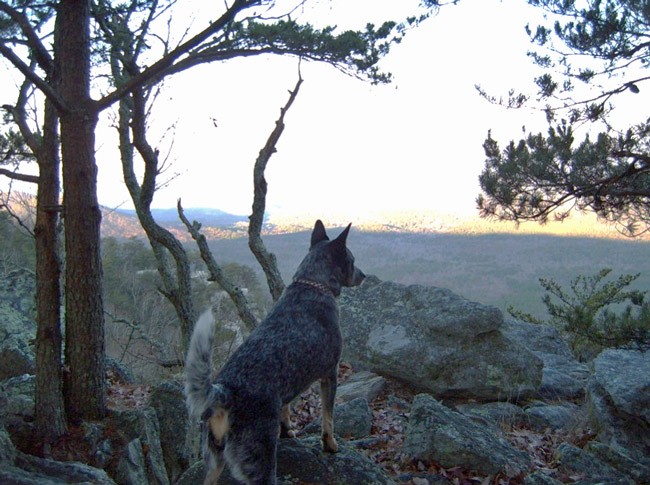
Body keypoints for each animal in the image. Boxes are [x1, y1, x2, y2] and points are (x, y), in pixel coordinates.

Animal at [184, 220, 364, 484]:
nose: (364, 275)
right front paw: (331, 445)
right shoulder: (330, 374)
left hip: (214, 462)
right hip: (261, 462)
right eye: (351, 260)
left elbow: (286, 410)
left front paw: (287, 431)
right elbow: (328, 419)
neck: (312, 284)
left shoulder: (287, 389)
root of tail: (224, 392)